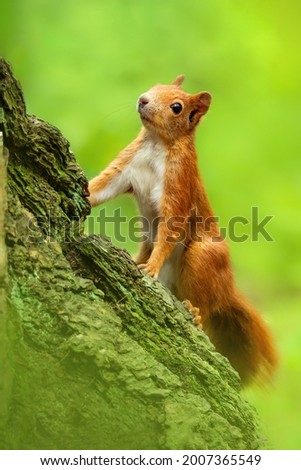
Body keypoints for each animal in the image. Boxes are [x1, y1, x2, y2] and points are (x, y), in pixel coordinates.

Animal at [87, 76, 276, 386]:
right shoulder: (126, 165)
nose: (143, 99)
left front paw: (150, 268)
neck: (157, 143)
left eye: (177, 107)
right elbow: (100, 188)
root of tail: (227, 290)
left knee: (204, 302)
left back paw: (195, 311)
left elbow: (171, 229)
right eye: (154, 86)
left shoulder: (180, 183)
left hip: (204, 257)